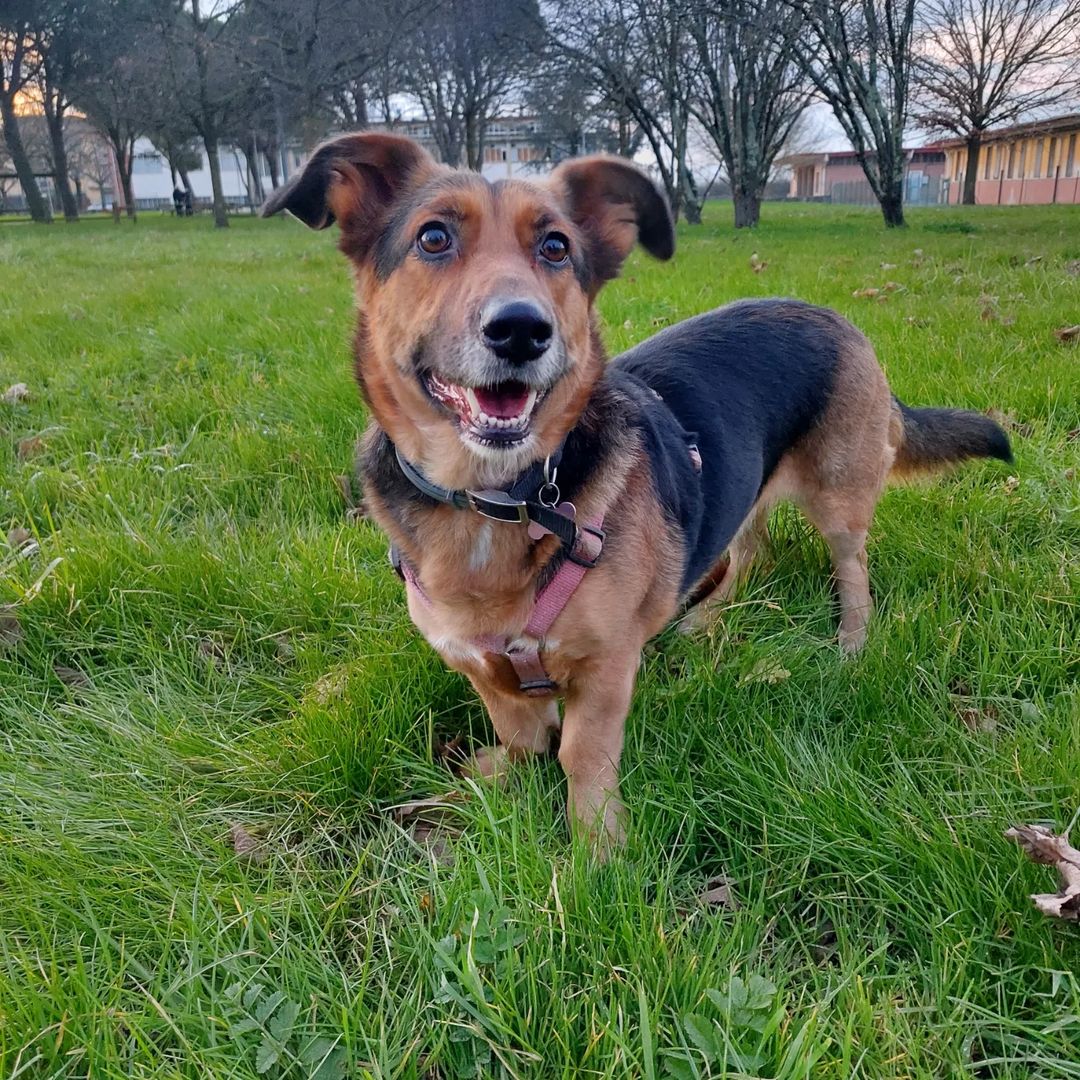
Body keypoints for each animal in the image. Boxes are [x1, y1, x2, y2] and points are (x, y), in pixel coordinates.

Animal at [263, 130, 1010, 846]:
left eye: (556, 247)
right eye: (433, 237)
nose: (521, 329)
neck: (498, 498)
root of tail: (840, 319)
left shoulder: (606, 669)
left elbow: (580, 756)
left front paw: (598, 850)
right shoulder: (476, 664)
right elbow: (521, 734)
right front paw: (495, 779)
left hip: (838, 494)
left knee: (851, 568)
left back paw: (851, 642)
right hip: (746, 483)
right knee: (750, 550)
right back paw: (704, 616)